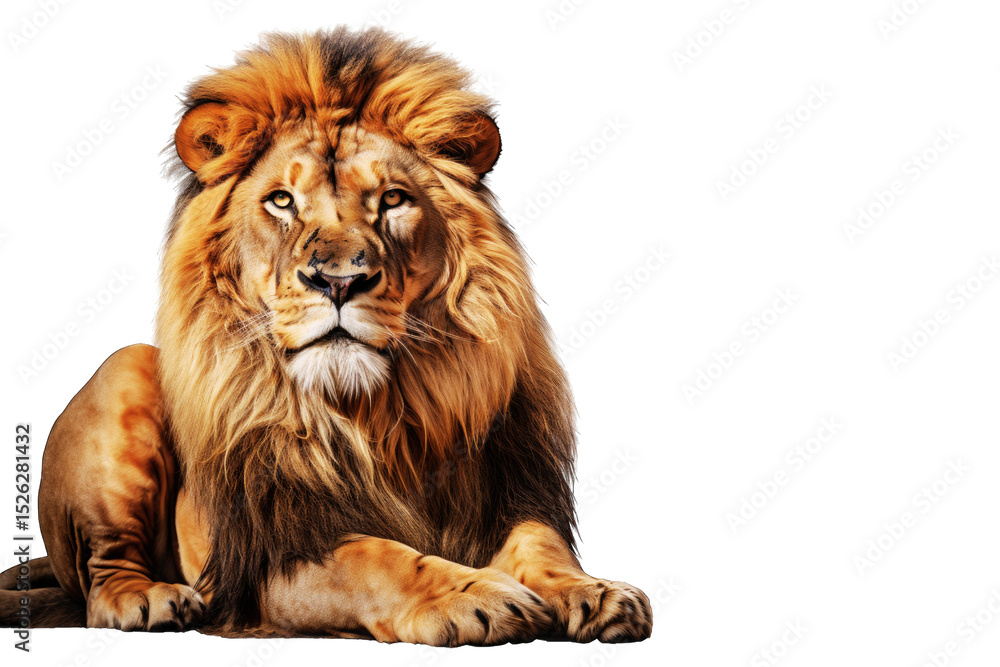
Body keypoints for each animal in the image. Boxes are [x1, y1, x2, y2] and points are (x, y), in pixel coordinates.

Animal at [0, 27, 652, 645]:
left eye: (392, 199)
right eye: (281, 200)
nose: (338, 280)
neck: (381, 419)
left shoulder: (506, 494)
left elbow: (541, 544)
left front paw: (594, 591)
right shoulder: (277, 553)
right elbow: (378, 558)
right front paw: (473, 594)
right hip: (126, 368)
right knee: (101, 578)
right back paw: (150, 600)